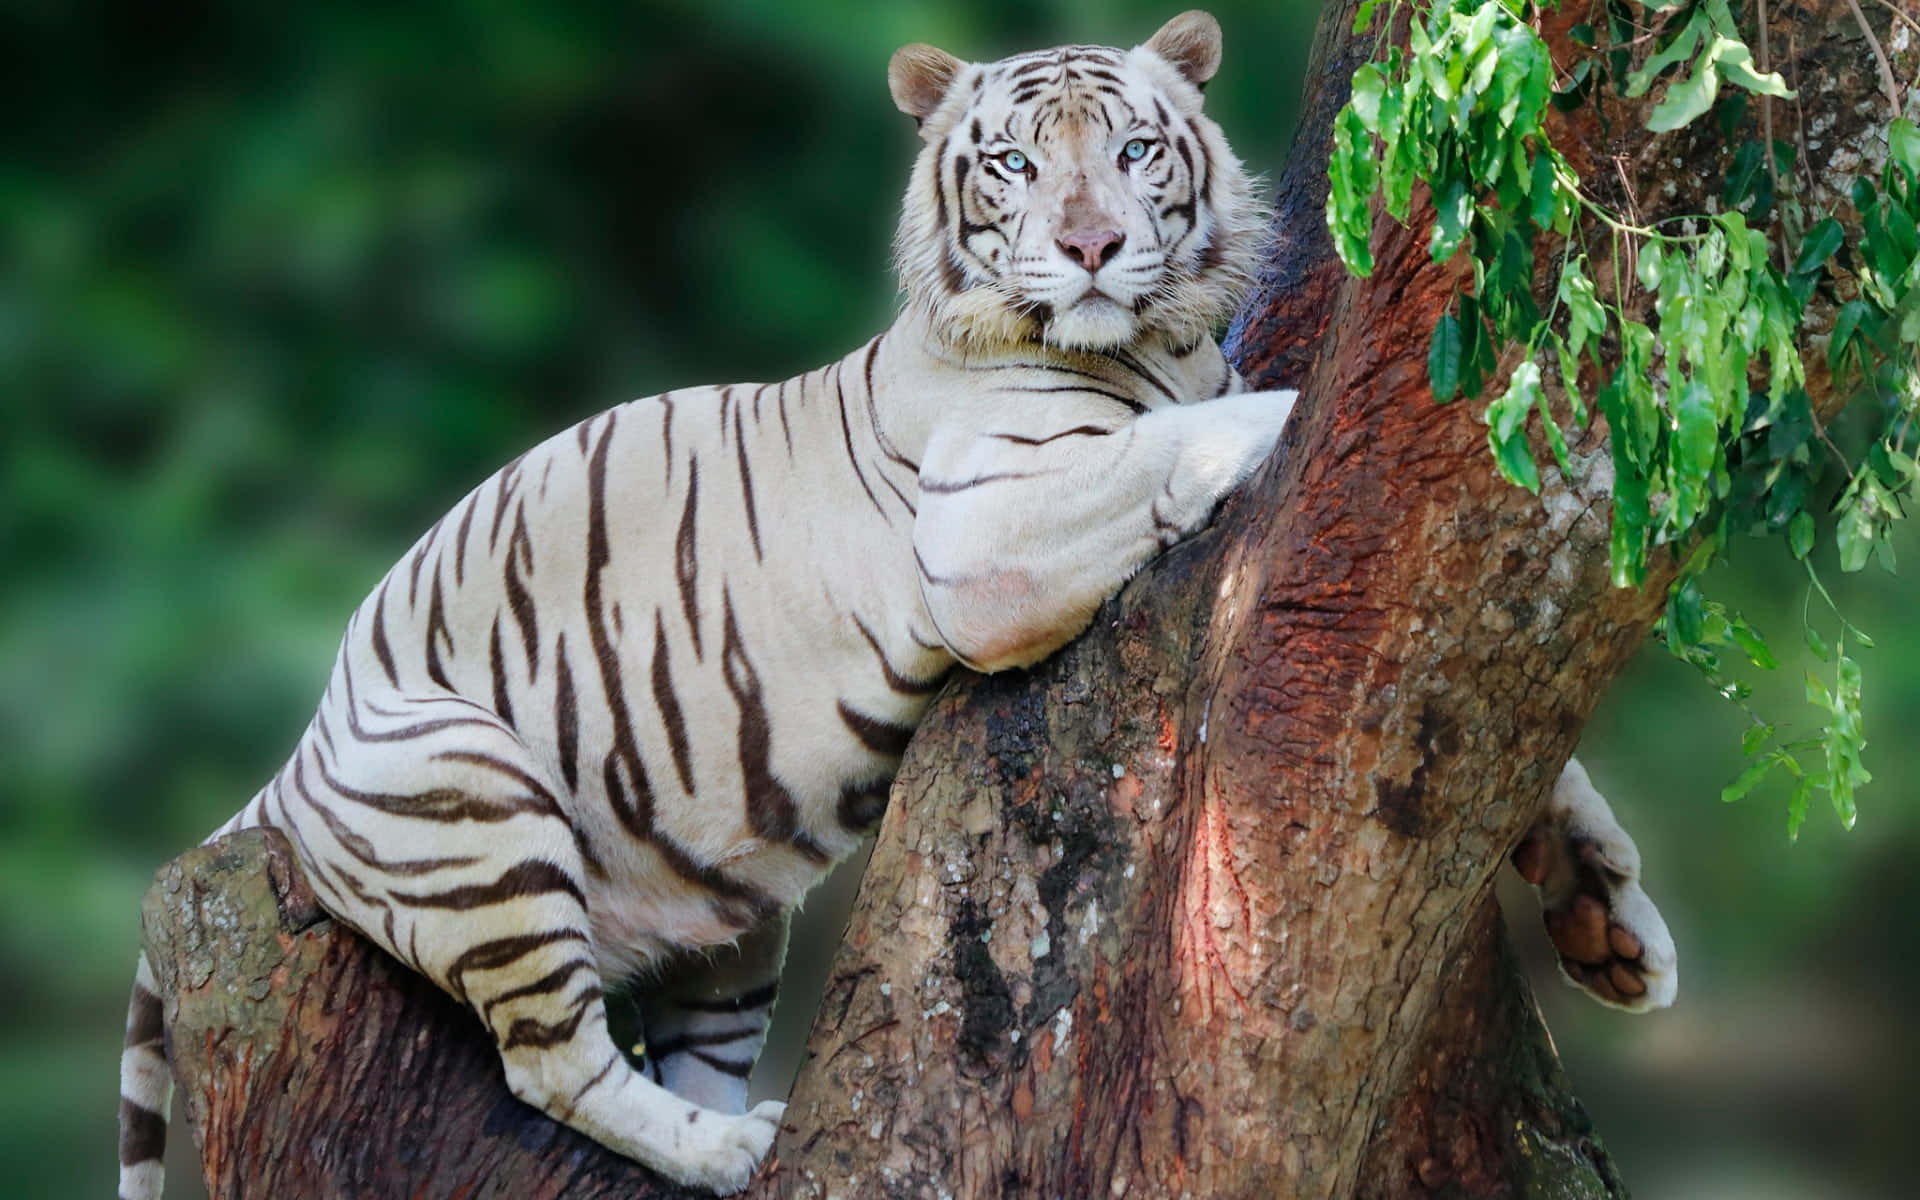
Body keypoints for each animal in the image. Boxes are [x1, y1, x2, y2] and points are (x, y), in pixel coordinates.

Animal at [118, 11, 1676, 1198]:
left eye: (1134, 150)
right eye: (1014, 164)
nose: (1093, 246)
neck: (1162, 346)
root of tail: (287, 766)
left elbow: (1532, 755)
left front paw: (1611, 921)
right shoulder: (985, 537)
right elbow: (1185, 443)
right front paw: (1318, 410)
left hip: (725, 926)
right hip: (475, 804)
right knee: (550, 1060)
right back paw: (732, 1153)